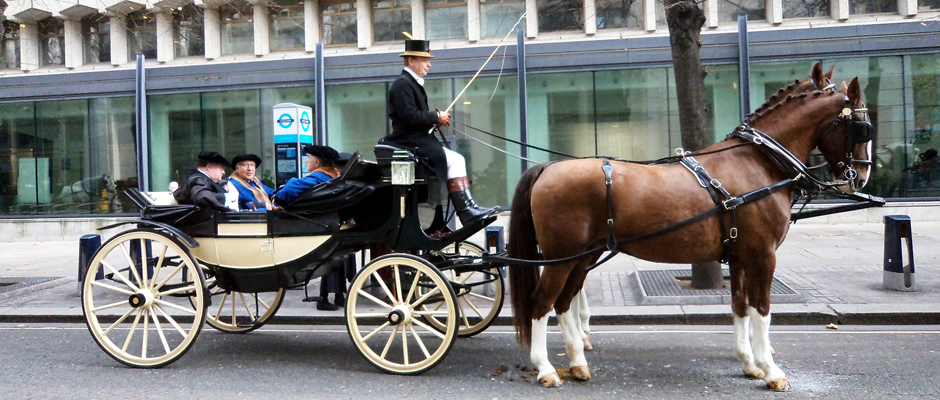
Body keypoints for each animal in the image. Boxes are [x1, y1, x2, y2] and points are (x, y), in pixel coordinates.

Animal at [506, 76, 872, 390]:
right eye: (862, 128)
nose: (862, 176)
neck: (757, 161)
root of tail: (547, 168)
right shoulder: (763, 256)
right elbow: (762, 311)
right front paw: (771, 371)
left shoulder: (739, 257)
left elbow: (741, 307)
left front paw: (748, 363)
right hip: (561, 258)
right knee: (542, 302)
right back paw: (545, 368)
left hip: (581, 256)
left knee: (563, 302)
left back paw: (578, 362)